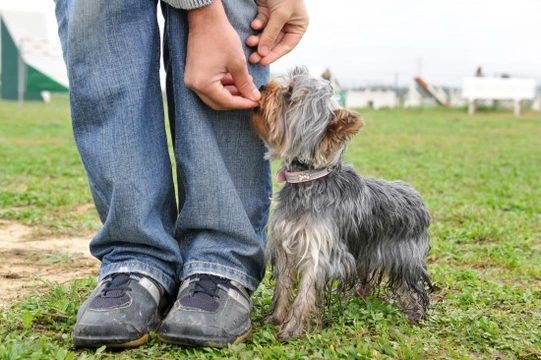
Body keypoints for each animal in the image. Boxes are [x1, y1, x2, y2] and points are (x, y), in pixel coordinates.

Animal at [251, 67, 432, 340]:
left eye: (289, 95)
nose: (262, 87)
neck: (308, 179)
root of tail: (416, 196)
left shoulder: (319, 251)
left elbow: (305, 293)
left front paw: (292, 328)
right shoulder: (285, 243)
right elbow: (283, 284)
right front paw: (276, 317)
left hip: (406, 255)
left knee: (412, 285)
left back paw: (415, 313)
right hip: (369, 249)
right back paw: (361, 294)